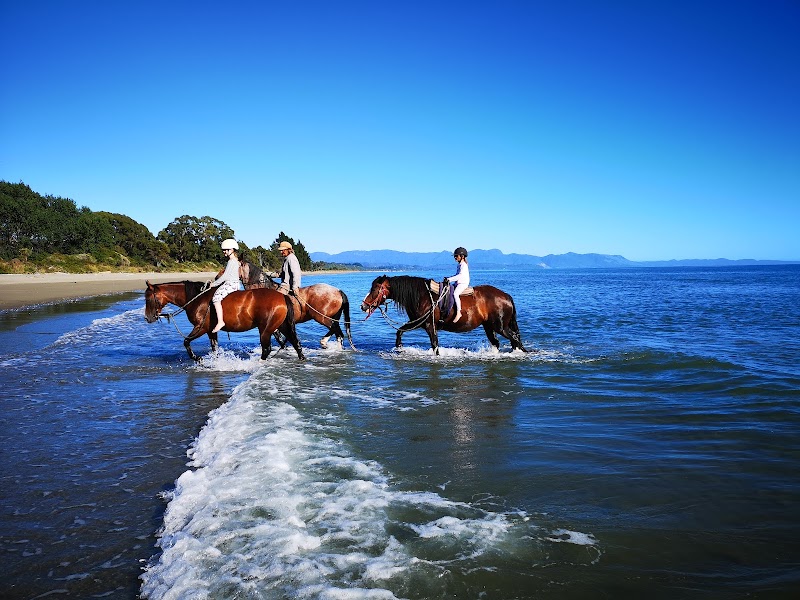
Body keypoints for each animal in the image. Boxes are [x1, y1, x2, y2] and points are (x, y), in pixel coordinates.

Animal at [144, 280, 305, 361]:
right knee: (294, 341)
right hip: (281, 325)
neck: (197, 298)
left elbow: (186, 342)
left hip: (265, 330)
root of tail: (282, 296)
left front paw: (196, 358)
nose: (147, 318)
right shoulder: (211, 331)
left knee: (267, 348)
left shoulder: (200, 328)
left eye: (148, 298)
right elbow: (214, 348)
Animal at [360, 275, 529, 355]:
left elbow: (435, 345)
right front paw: (399, 348)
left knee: (515, 338)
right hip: (489, 326)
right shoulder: (417, 322)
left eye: (375, 289)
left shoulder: (429, 325)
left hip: (500, 326)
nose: (363, 306)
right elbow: (400, 331)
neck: (422, 296)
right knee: (498, 342)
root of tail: (506, 296)